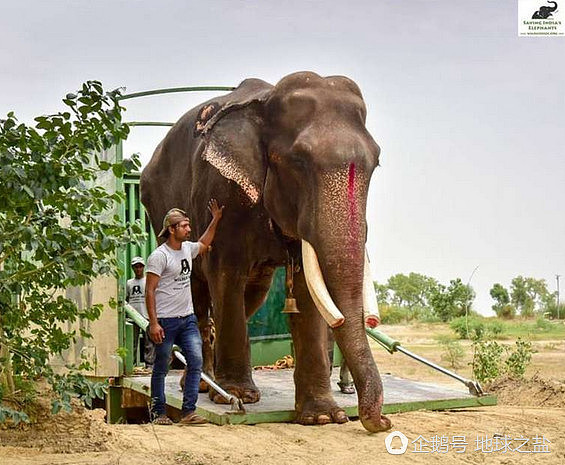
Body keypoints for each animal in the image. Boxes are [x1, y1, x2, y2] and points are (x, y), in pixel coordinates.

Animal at [139, 70, 390, 432]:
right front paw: (237, 395)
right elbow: (225, 272)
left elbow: (306, 291)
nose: (382, 421)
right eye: (298, 161)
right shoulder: (222, 190)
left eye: (376, 163)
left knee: (252, 294)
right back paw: (202, 384)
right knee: (200, 293)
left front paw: (323, 417)